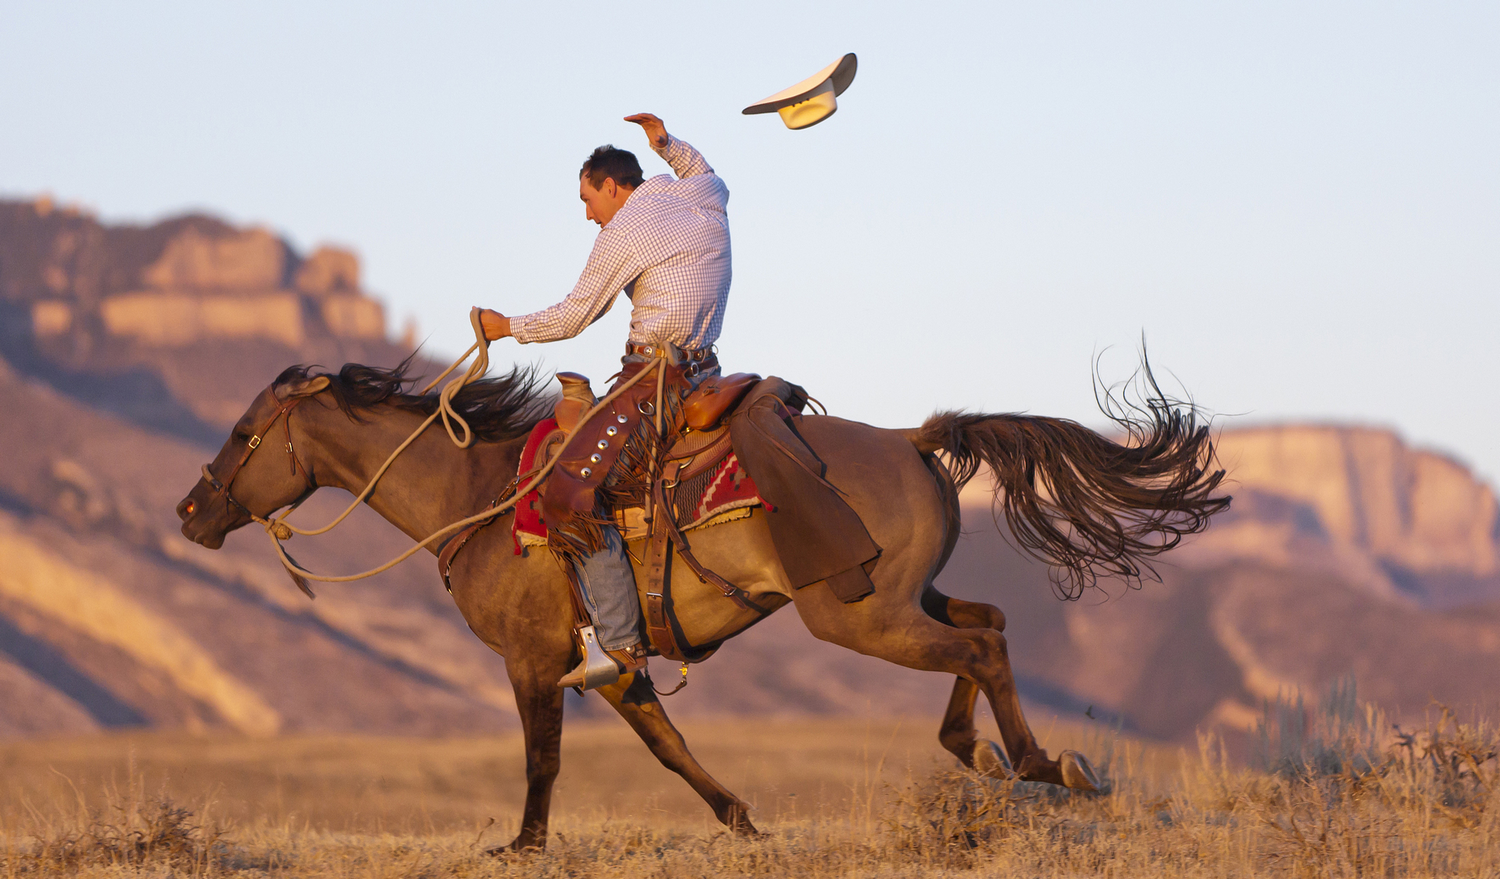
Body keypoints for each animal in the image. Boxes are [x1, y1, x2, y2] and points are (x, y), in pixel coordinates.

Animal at [175, 357, 1228, 852]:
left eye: (243, 432)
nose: (190, 512)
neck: (476, 499)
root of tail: (909, 438)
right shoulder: (612, 669)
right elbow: (670, 749)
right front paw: (743, 821)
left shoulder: (532, 662)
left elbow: (542, 758)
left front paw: (523, 843)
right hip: (904, 596)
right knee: (988, 628)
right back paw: (993, 752)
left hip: (859, 616)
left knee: (978, 651)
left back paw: (1043, 763)